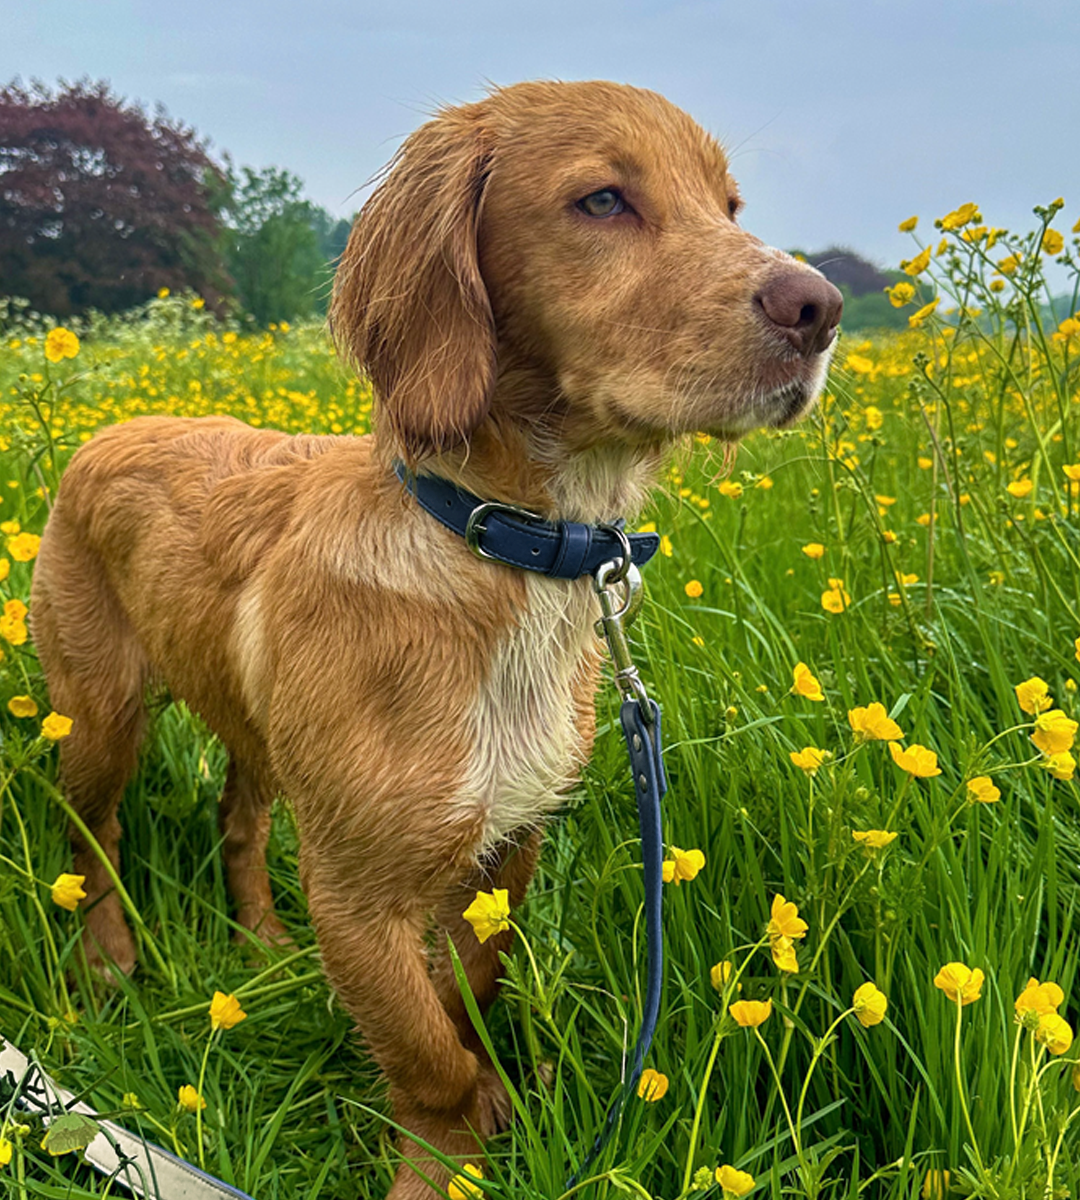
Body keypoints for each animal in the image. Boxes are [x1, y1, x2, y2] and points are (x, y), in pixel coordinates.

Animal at [29, 79, 844, 1195]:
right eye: (602, 200)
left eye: (728, 205)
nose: (820, 308)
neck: (502, 551)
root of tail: (109, 427)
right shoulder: (355, 893)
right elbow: (424, 1054)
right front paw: (440, 1161)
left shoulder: (507, 840)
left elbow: (464, 997)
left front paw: (486, 1109)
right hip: (100, 714)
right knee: (95, 838)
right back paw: (108, 960)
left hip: (259, 731)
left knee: (238, 823)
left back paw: (263, 942)